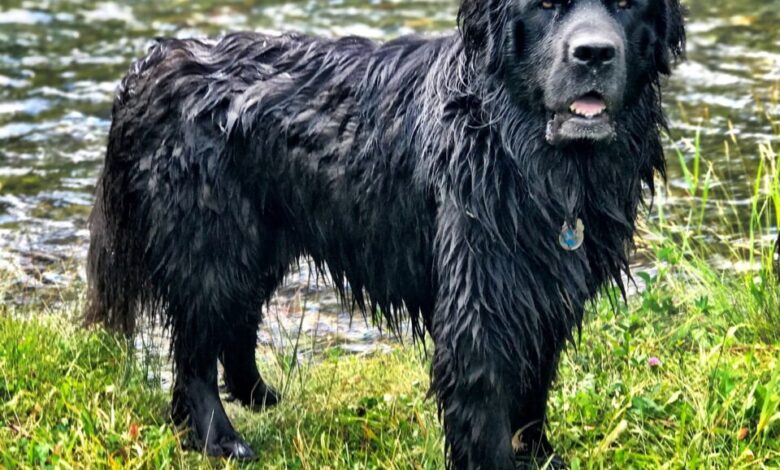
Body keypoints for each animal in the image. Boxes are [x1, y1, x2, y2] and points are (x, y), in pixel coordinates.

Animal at [87, 1, 684, 468]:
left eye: (627, 4)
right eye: (544, 5)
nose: (594, 53)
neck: (532, 155)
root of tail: (153, 66)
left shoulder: (548, 285)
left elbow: (534, 386)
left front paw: (540, 456)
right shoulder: (482, 290)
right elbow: (487, 395)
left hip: (261, 235)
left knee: (237, 317)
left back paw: (257, 394)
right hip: (210, 237)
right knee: (195, 348)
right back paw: (218, 439)